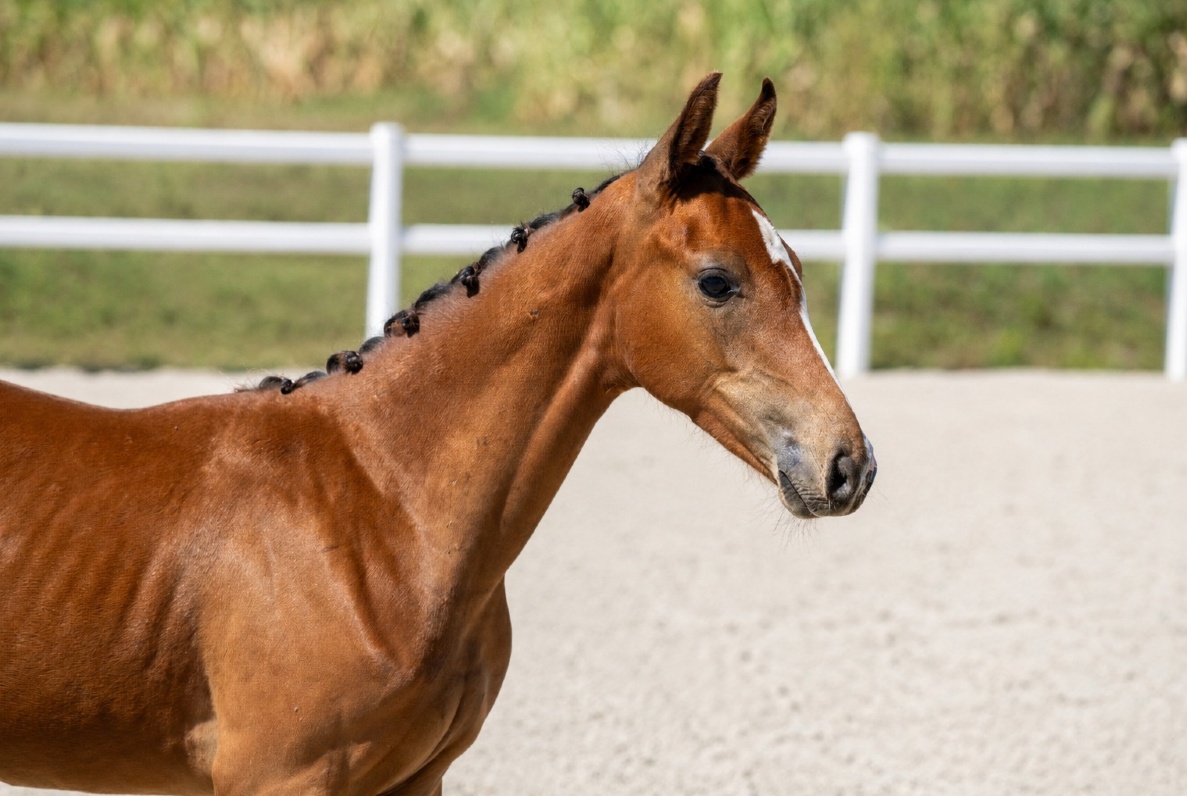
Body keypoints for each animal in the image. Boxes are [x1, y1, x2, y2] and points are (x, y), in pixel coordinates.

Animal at [0, 74, 876, 795]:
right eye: (717, 282)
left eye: (797, 271)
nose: (847, 465)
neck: (380, 512)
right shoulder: (278, 778)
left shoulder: (415, 780)